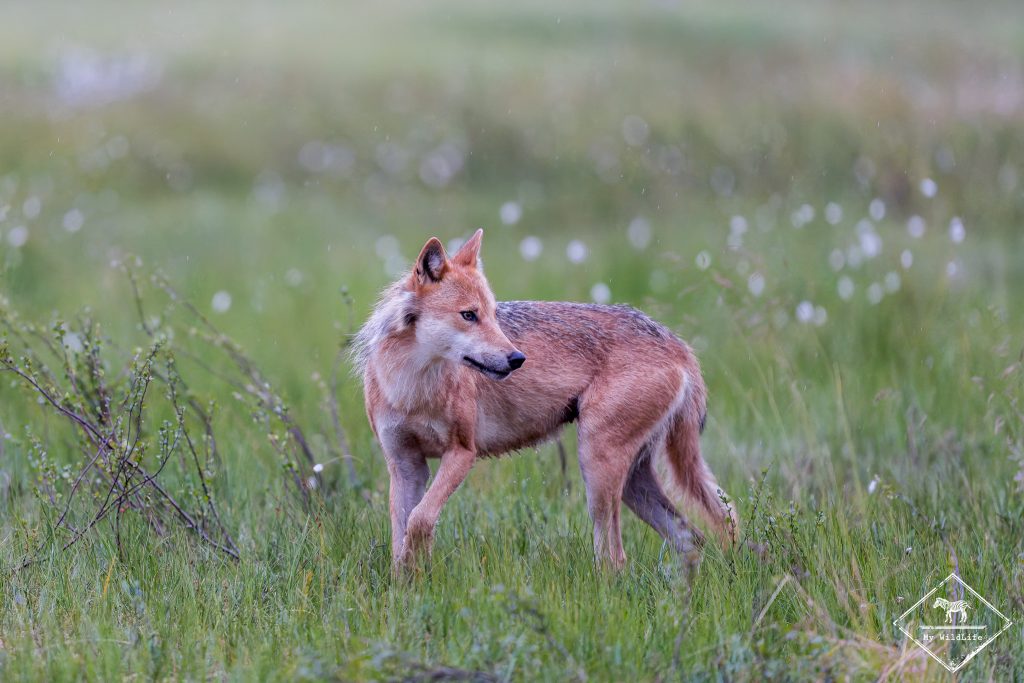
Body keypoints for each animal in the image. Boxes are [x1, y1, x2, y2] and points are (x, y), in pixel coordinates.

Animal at [354, 229, 736, 570]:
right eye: (469, 315)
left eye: (493, 314)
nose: (517, 359)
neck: (409, 387)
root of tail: (678, 344)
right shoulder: (405, 465)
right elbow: (402, 536)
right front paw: (408, 589)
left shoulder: (462, 453)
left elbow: (419, 521)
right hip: (630, 484)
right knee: (693, 539)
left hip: (597, 470)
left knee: (617, 558)